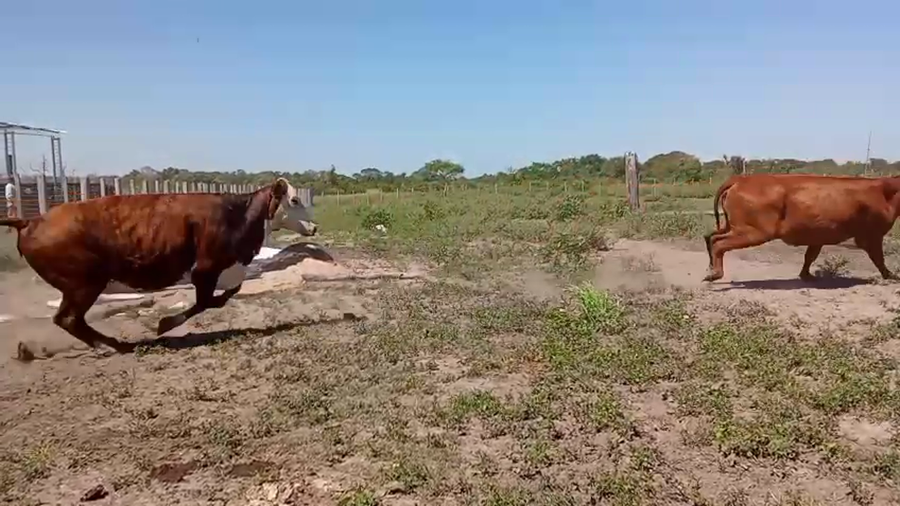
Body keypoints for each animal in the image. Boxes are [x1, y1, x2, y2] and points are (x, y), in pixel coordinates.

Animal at [0, 178, 318, 353]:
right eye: (294, 200)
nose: (315, 227)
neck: (238, 214)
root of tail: (31, 220)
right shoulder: (205, 270)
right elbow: (207, 302)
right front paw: (165, 324)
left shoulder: (228, 270)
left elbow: (226, 295)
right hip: (84, 284)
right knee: (67, 319)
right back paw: (109, 345)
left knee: (69, 320)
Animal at [703, 173, 900, 283]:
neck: (886, 191)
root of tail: (740, 179)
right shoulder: (872, 235)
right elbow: (879, 258)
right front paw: (891, 276)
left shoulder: (818, 236)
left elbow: (809, 257)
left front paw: (806, 276)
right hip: (753, 232)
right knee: (719, 243)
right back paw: (715, 274)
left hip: (733, 227)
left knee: (711, 237)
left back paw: (711, 267)